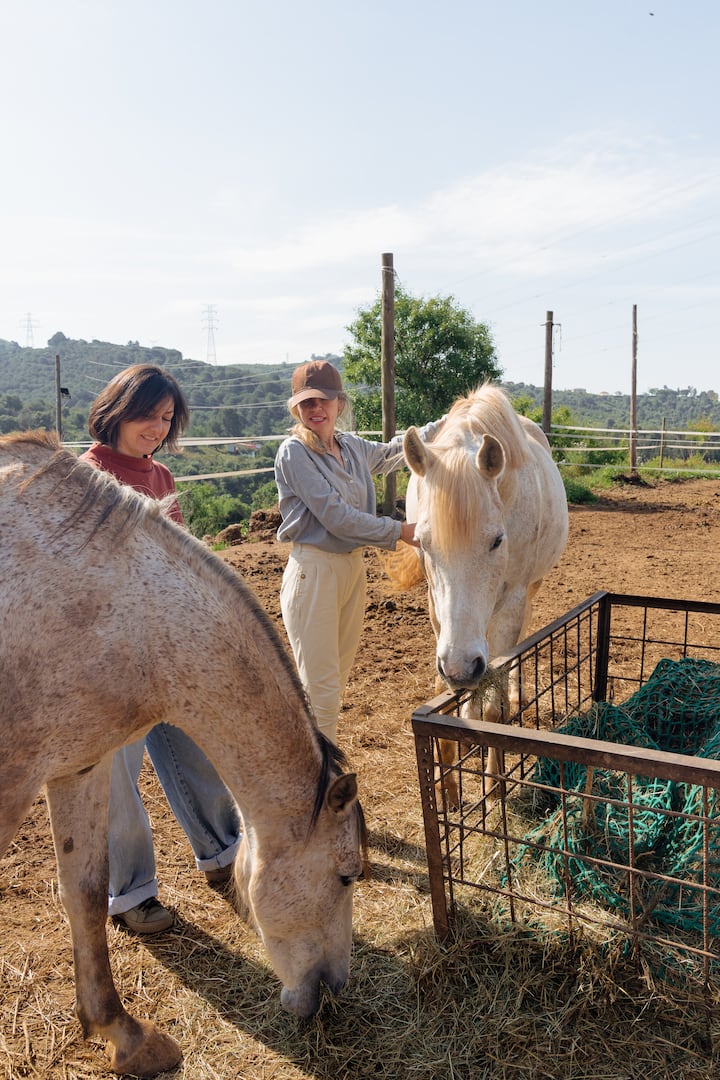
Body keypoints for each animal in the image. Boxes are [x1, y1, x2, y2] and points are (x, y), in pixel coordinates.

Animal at [384, 384, 569, 807]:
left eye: (497, 540)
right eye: (423, 541)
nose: (461, 667)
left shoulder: (509, 605)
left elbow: (495, 706)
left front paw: (494, 786)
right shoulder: (438, 611)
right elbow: (446, 694)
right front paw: (449, 790)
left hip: (528, 593)